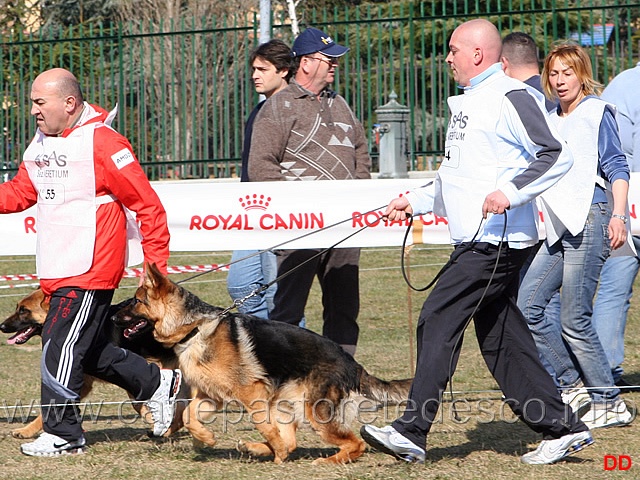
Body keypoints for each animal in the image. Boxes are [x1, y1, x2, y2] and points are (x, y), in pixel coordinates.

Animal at [113, 264, 410, 464]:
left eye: (136, 301)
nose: (113, 318)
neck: (194, 328)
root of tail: (351, 362)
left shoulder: (252, 393)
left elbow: (261, 423)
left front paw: (271, 445)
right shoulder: (211, 396)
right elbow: (188, 416)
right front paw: (206, 439)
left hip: (313, 412)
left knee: (355, 443)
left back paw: (325, 460)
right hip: (286, 405)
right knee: (293, 442)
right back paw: (258, 449)